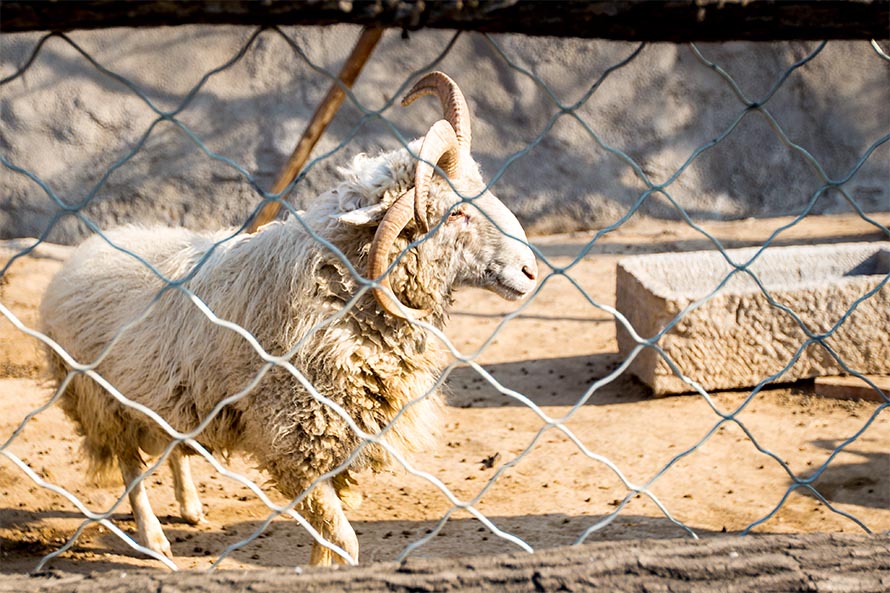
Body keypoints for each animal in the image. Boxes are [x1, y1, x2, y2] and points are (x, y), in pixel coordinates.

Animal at [40, 71, 536, 568]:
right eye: (456, 213)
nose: (531, 270)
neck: (336, 290)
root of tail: (87, 249)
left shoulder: (338, 443)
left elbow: (327, 538)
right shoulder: (296, 441)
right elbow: (343, 540)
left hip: (165, 397)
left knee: (174, 448)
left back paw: (190, 507)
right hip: (103, 401)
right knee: (132, 469)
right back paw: (153, 539)